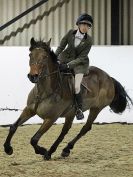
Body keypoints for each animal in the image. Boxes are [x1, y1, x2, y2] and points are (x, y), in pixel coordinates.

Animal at [3, 37, 132, 160]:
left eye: (44, 57)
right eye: (30, 55)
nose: (32, 76)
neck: (44, 91)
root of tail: (108, 77)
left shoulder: (51, 118)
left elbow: (34, 139)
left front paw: (42, 150)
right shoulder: (29, 110)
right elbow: (13, 127)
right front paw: (8, 148)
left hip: (96, 108)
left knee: (85, 128)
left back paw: (61, 150)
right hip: (71, 113)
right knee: (65, 131)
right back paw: (57, 151)